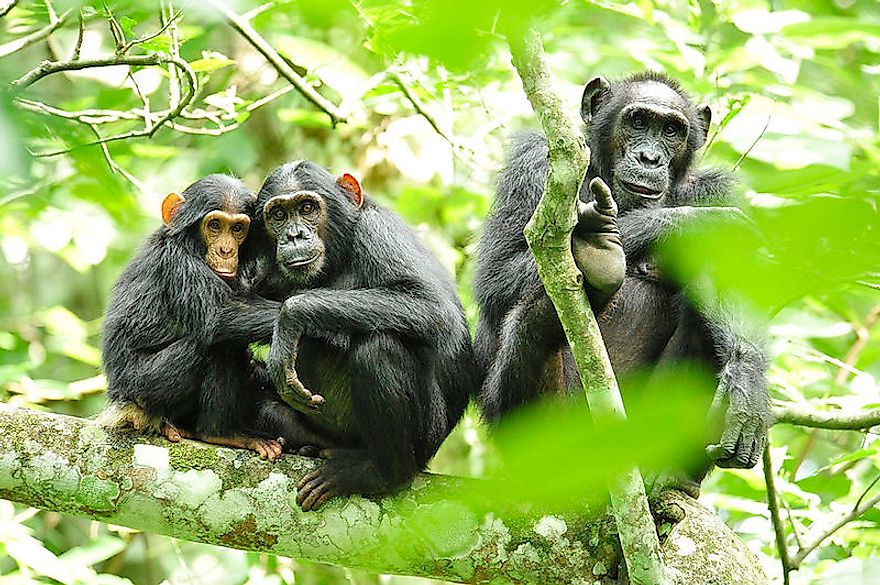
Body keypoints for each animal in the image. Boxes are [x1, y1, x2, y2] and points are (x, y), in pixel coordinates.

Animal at [100, 175, 326, 460]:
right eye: (215, 225)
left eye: (238, 228)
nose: (226, 250)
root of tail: (122, 405)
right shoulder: (178, 261)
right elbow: (219, 314)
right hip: (143, 388)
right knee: (218, 345)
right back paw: (223, 433)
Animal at [251, 161, 478, 512]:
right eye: (278, 215)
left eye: (307, 208)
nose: (294, 234)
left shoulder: (378, 233)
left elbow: (432, 306)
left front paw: (290, 318)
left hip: (426, 438)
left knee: (378, 348)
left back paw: (379, 474)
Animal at [474, 72, 768, 474]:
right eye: (638, 121)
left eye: (672, 130)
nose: (649, 157)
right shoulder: (532, 163)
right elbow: (497, 274)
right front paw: (690, 224)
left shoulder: (716, 189)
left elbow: (730, 275)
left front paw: (747, 381)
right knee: (529, 328)